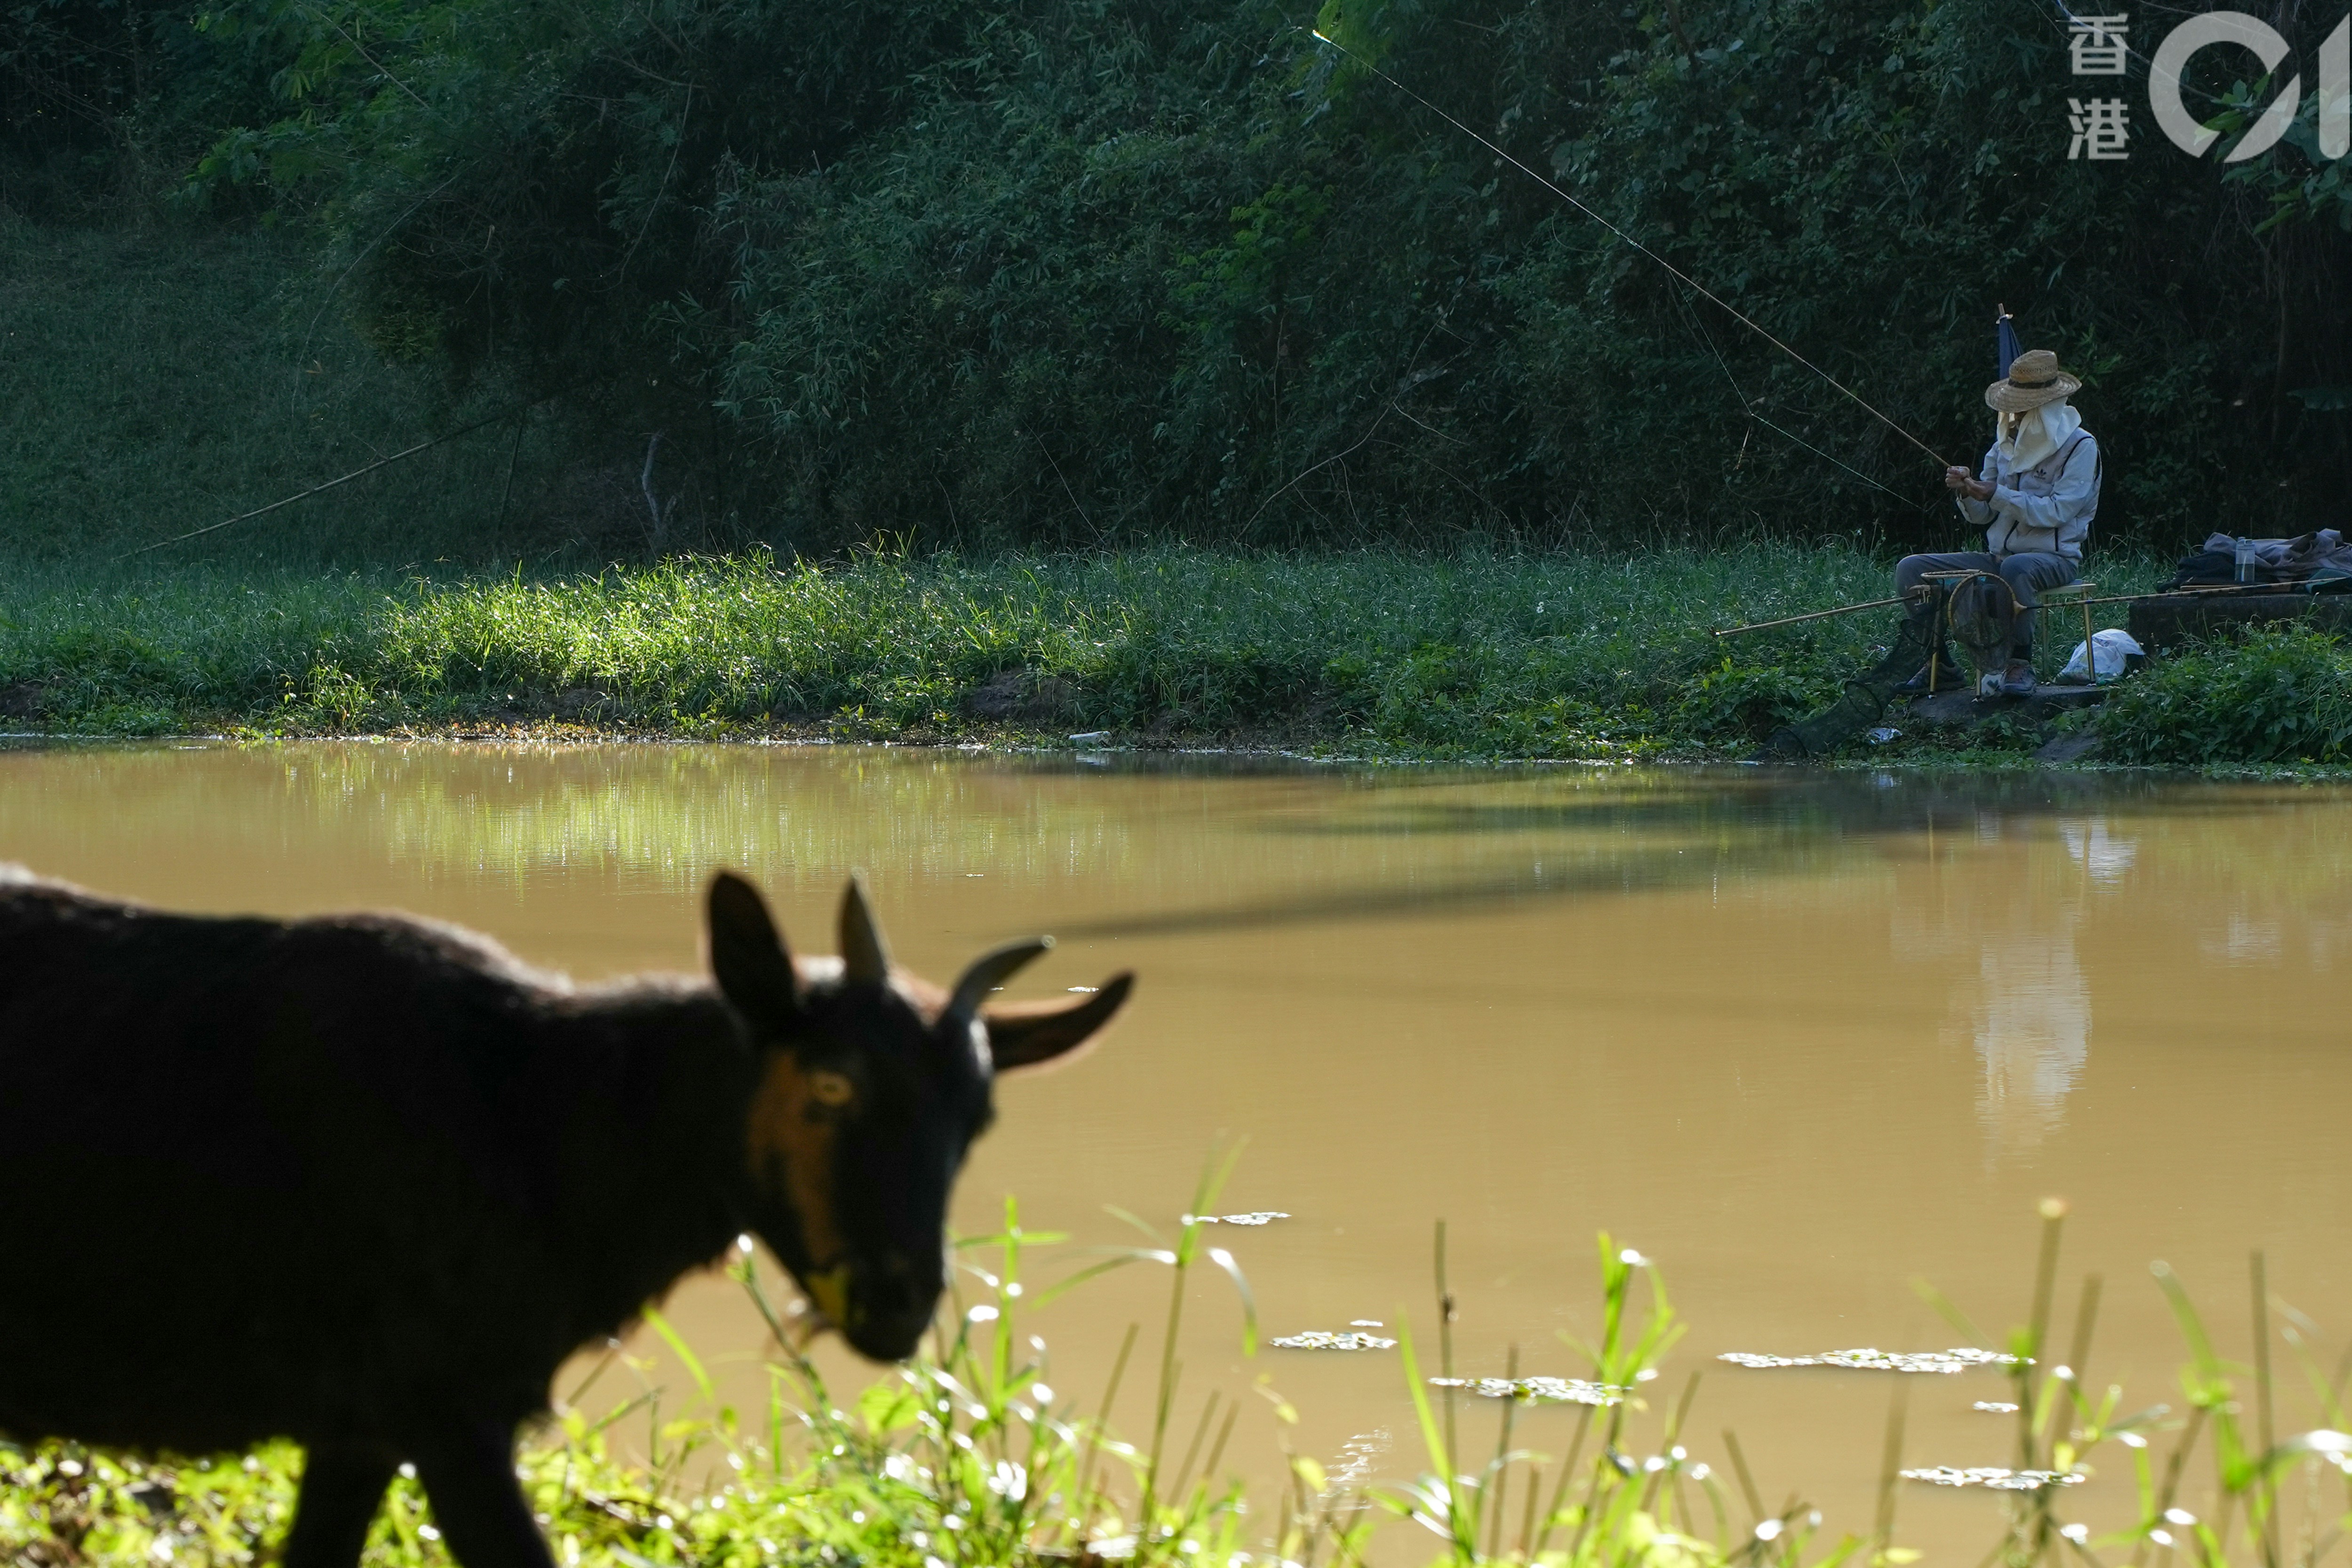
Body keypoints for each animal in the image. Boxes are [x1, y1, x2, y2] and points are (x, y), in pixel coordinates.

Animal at [0, 869, 1129, 1568]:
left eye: (977, 1117)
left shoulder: (363, 1420)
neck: (542, 1118)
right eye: (829, 1084)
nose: (898, 1300)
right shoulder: (445, 1406)